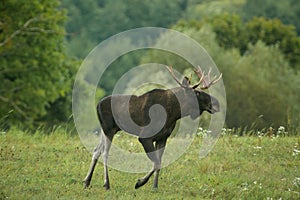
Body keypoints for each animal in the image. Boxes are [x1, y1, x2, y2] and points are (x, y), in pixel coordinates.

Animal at [83, 65, 221, 189]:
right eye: (197, 93)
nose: (217, 103)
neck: (174, 113)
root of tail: (97, 105)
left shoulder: (163, 138)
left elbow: (159, 163)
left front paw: (154, 186)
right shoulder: (144, 137)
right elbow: (156, 162)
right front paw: (140, 182)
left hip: (108, 129)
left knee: (96, 150)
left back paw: (86, 181)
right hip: (108, 129)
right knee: (105, 152)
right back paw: (106, 184)